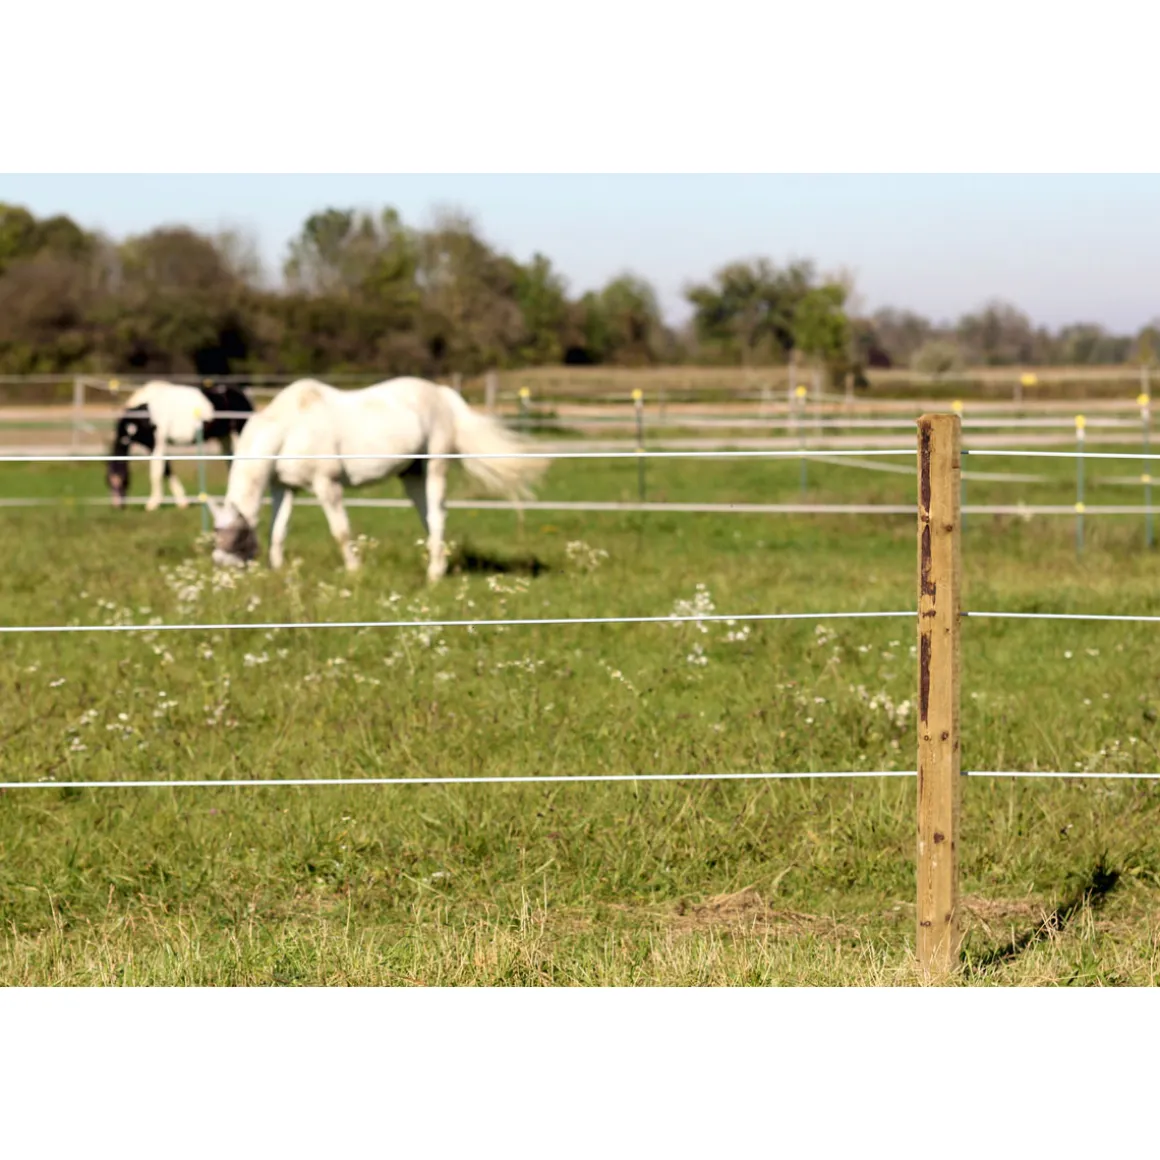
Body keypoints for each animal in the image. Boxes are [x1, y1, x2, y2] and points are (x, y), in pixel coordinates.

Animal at [105, 381, 254, 511]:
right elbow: (167, 469)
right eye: (107, 482)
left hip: (238, 434)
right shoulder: (151, 445)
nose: (117, 506)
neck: (144, 412)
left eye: (117, 481)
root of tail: (242, 395)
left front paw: (153, 504)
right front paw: (182, 502)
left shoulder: (158, 443)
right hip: (225, 437)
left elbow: (156, 472)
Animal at [205, 377, 547, 583]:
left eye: (234, 538)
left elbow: (341, 532)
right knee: (428, 518)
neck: (290, 426)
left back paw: (434, 574)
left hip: (434, 467)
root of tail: (442, 394)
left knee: (437, 516)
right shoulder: (284, 488)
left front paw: (354, 571)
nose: (222, 569)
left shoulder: (327, 485)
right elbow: (278, 531)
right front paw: (278, 570)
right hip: (412, 474)